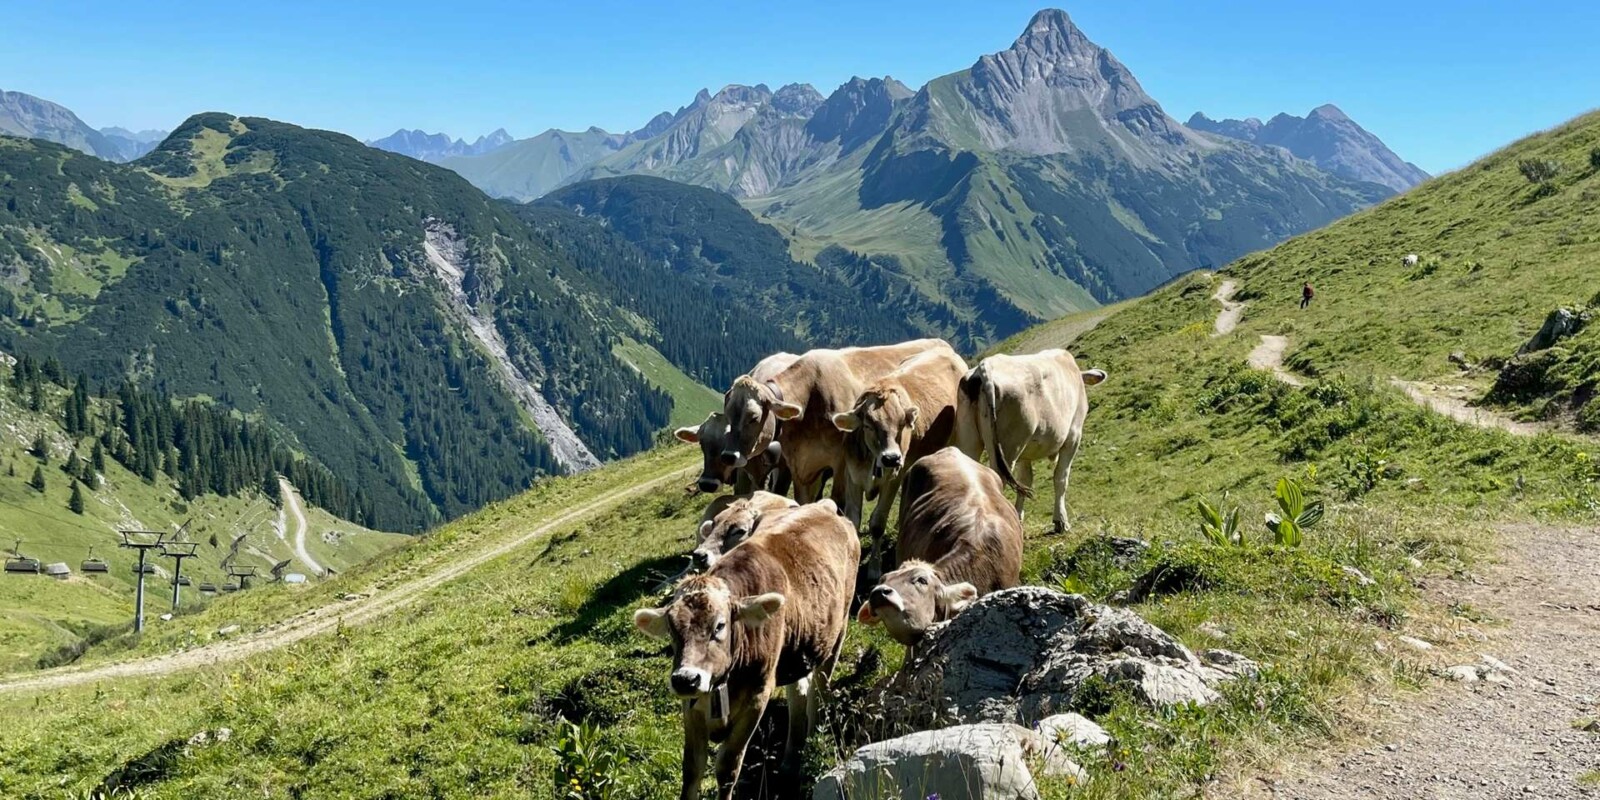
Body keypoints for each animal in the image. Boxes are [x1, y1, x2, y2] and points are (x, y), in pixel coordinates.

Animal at [635, 501, 860, 800]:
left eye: (720, 625)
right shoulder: (691, 706)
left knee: (819, 690)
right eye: (672, 629)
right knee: (798, 691)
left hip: (838, 630)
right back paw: (790, 760)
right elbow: (692, 769)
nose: (685, 679)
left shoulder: (757, 695)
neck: (721, 686)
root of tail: (823, 505)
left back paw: (812, 740)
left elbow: (727, 767)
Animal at [720, 340, 952, 511]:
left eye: (753, 417)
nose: (729, 456)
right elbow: (801, 502)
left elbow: (838, 501)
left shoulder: (840, 462)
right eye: (728, 415)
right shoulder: (799, 465)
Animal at [830, 346, 967, 565]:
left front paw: (874, 566)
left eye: (902, 424)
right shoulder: (853, 476)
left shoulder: (893, 478)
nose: (891, 458)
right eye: (868, 424)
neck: (873, 461)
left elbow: (877, 523)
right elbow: (854, 520)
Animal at [956, 350, 1106, 534]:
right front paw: (1061, 521)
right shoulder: (1073, 436)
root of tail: (985, 367)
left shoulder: (1025, 454)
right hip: (1008, 447)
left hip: (971, 441)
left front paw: (1019, 519)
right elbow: (1061, 478)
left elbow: (1025, 481)